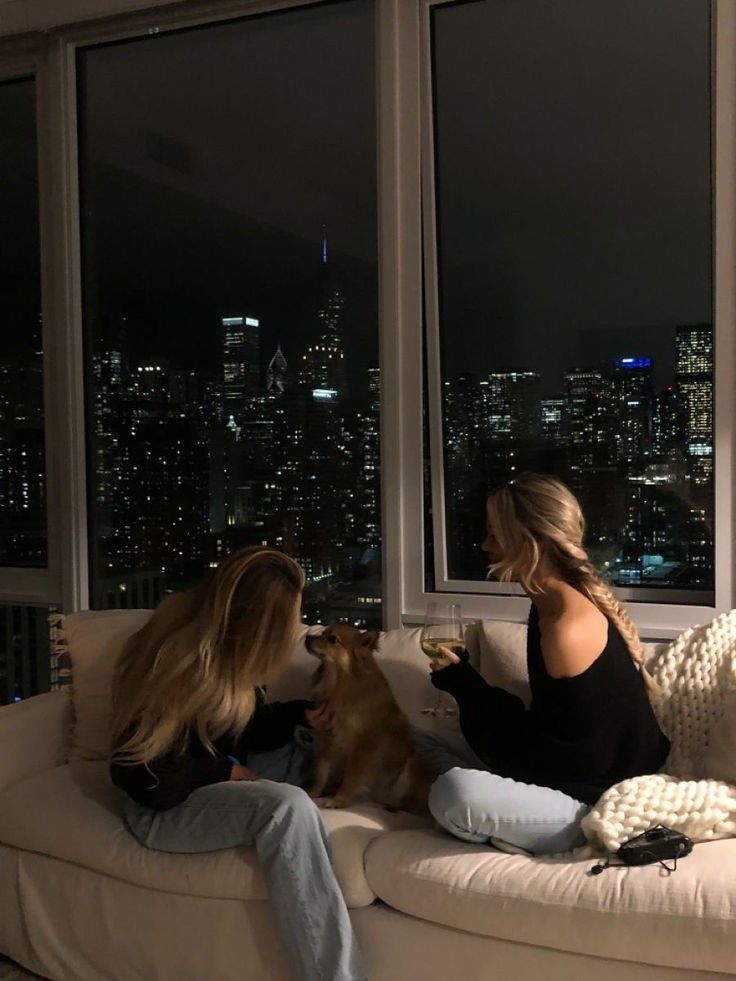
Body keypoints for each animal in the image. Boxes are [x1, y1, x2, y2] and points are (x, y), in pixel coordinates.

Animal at [304, 620, 434, 812]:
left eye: (333, 639)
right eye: (322, 633)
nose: (307, 637)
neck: (338, 684)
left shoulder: (363, 747)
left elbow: (351, 777)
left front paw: (338, 800)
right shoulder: (325, 739)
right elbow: (321, 772)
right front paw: (313, 793)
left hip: (410, 764)